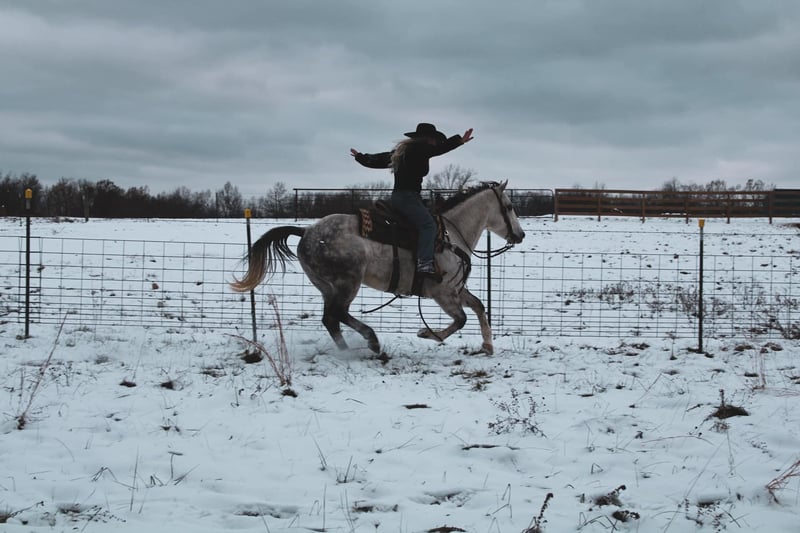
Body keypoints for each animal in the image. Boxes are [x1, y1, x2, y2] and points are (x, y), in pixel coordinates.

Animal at [230, 180, 525, 355]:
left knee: (331, 319)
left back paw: (349, 350)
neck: (451, 234)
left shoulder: (456, 290)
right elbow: (461, 319)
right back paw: (370, 341)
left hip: (327, 286)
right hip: (347, 282)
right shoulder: (442, 293)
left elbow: (478, 307)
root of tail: (306, 231)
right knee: (337, 314)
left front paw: (487, 345)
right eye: (509, 206)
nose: (520, 235)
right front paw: (427, 333)